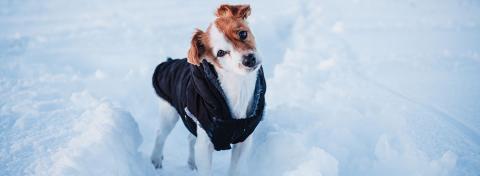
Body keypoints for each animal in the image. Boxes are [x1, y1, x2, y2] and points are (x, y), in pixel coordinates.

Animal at [150, 3, 266, 176]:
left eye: (243, 33)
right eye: (221, 53)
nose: (248, 59)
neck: (239, 87)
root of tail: (170, 61)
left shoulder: (243, 140)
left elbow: (235, 169)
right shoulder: (205, 143)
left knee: (190, 139)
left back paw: (192, 163)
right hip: (169, 112)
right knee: (160, 135)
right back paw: (155, 160)